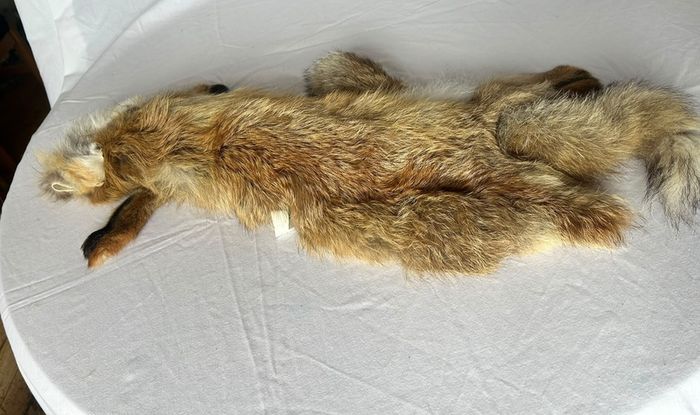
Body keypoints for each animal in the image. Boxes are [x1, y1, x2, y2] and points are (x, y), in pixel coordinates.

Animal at [37, 51, 700, 274]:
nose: (49, 184)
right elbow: (137, 206)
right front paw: (106, 237)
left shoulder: (158, 139)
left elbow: (131, 199)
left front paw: (95, 225)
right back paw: (579, 84)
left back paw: (576, 79)